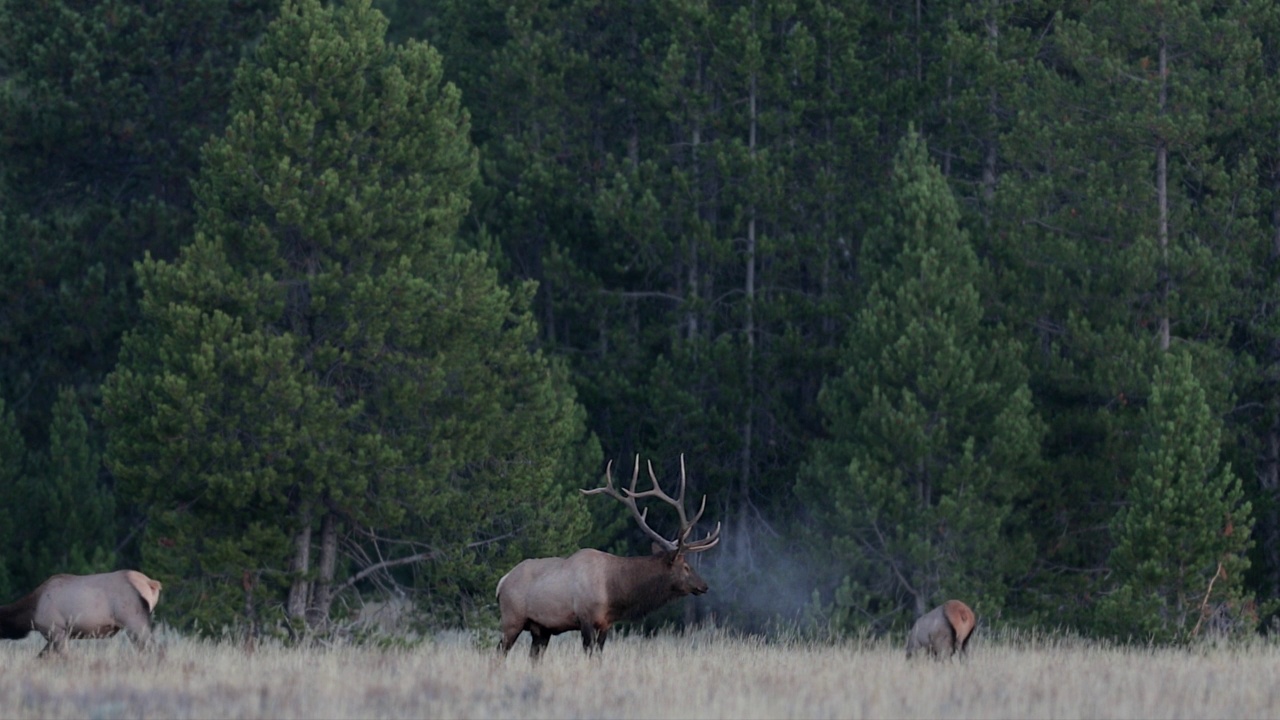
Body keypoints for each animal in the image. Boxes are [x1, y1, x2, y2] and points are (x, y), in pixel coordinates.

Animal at [0, 566, 163, 655]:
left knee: (153, 649)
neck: (31, 613)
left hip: (133, 621)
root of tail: (152, 583)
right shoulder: (57, 635)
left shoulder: (56, 629)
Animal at [494, 453, 721, 655]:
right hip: (511, 620)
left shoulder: (606, 623)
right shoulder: (585, 617)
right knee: (499, 652)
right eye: (686, 567)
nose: (704, 585)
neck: (614, 590)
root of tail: (502, 582)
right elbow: (589, 652)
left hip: (541, 629)